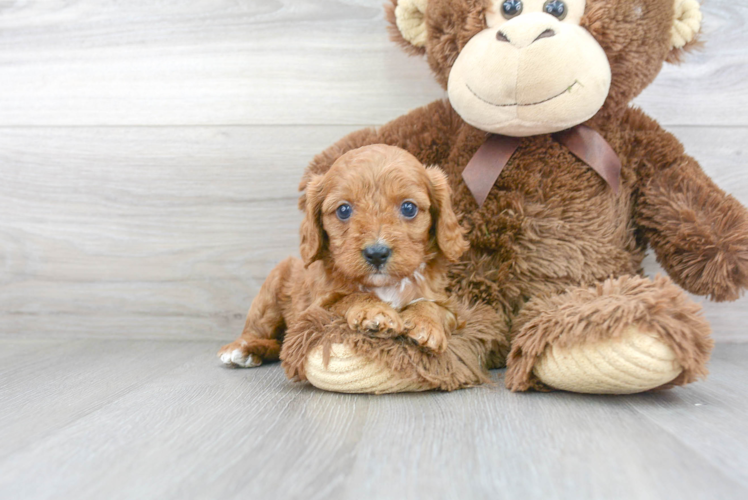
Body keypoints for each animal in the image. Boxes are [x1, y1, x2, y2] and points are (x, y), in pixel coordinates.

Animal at [219, 145, 470, 368]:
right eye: (343, 210)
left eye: (409, 208)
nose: (376, 253)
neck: (385, 286)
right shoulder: (316, 308)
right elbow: (350, 297)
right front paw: (374, 312)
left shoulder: (450, 306)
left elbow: (434, 306)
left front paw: (425, 324)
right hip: (270, 291)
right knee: (260, 331)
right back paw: (242, 349)